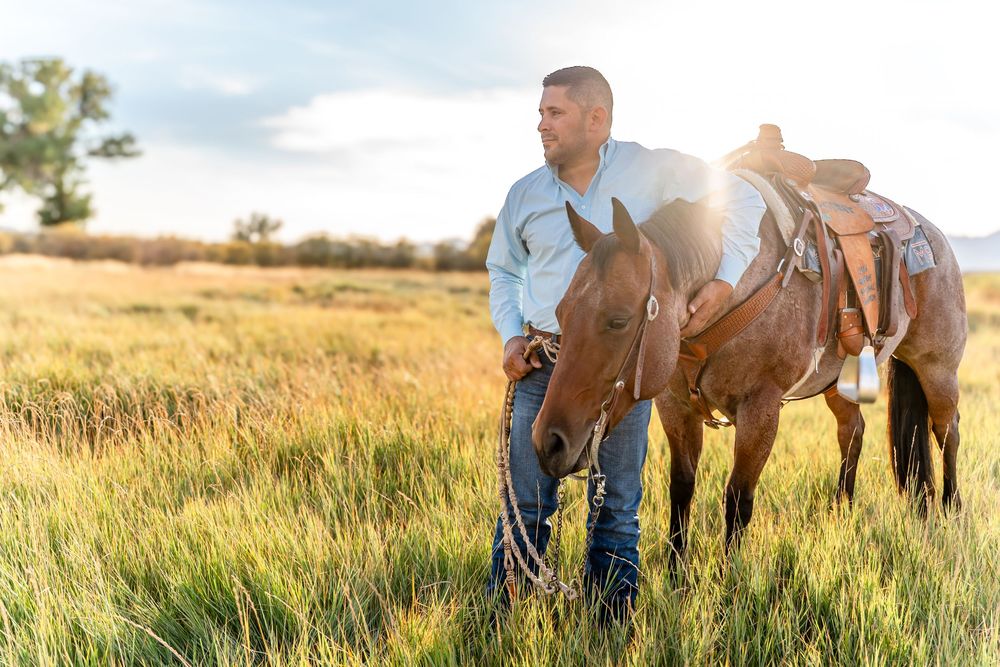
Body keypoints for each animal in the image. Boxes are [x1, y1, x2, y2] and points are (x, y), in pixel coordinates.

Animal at [530, 192, 967, 568]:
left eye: (619, 320)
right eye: (561, 311)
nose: (547, 442)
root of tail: (933, 235)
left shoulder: (761, 411)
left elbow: (738, 497)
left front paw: (730, 577)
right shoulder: (675, 407)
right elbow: (681, 488)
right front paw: (675, 574)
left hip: (936, 369)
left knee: (947, 430)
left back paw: (951, 509)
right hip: (840, 382)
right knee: (853, 431)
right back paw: (840, 510)